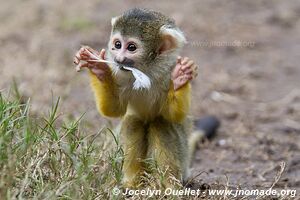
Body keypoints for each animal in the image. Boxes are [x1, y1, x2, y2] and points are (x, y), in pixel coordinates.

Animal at [74, 8, 219, 188]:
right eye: (117, 45)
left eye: (131, 47)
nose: (119, 59)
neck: (146, 70)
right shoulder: (119, 73)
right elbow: (114, 110)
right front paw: (99, 68)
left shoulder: (167, 71)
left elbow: (175, 116)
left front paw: (180, 78)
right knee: (133, 121)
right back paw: (134, 182)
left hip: (183, 159)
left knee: (161, 123)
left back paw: (168, 185)